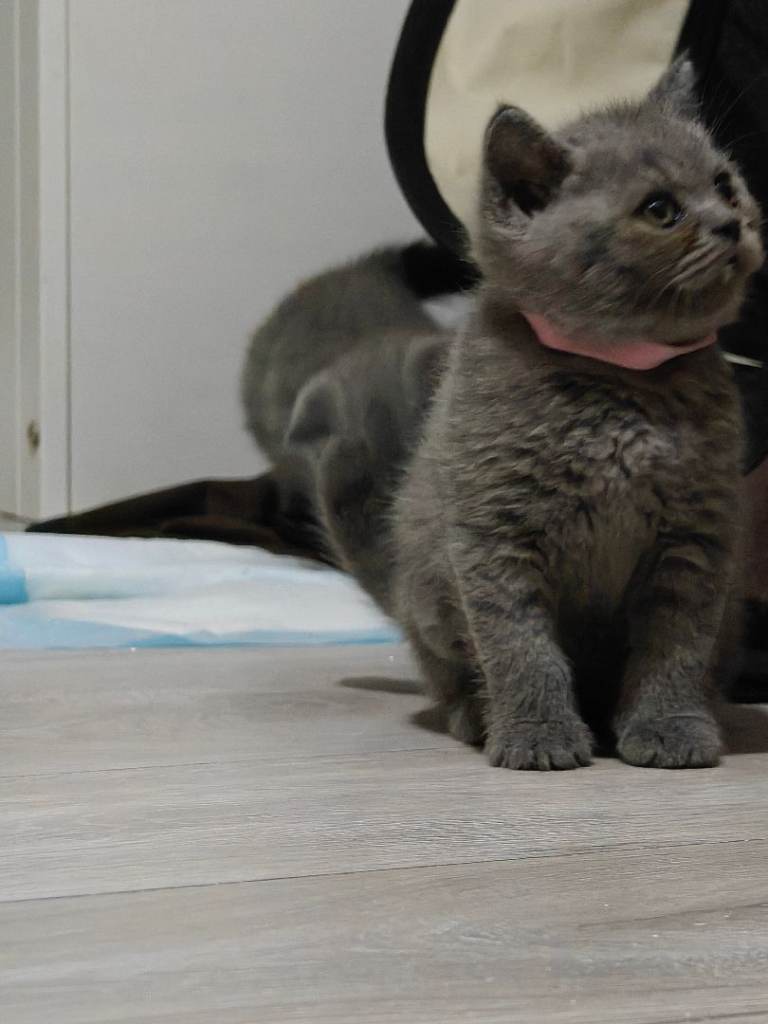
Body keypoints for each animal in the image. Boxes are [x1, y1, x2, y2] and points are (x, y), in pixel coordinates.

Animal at [315, 56, 764, 770]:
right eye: (659, 209)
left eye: (724, 184)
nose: (730, 223)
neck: (619, 374)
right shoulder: (495, 533)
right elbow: (519, 646)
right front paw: (538, 736)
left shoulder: (697, 534)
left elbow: (676, 644)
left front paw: (670, 730)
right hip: (430, 593)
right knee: (447, 675)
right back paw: (476, 716)